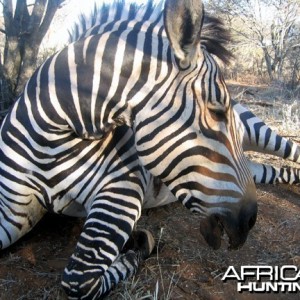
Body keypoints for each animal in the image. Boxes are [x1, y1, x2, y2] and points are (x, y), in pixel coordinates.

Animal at [0, 1, 258, 298]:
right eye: (217, 113)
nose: (251, 220)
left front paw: (140, 244)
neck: (52, 138)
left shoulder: (121, 190)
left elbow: (79, 280)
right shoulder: (11, 208)